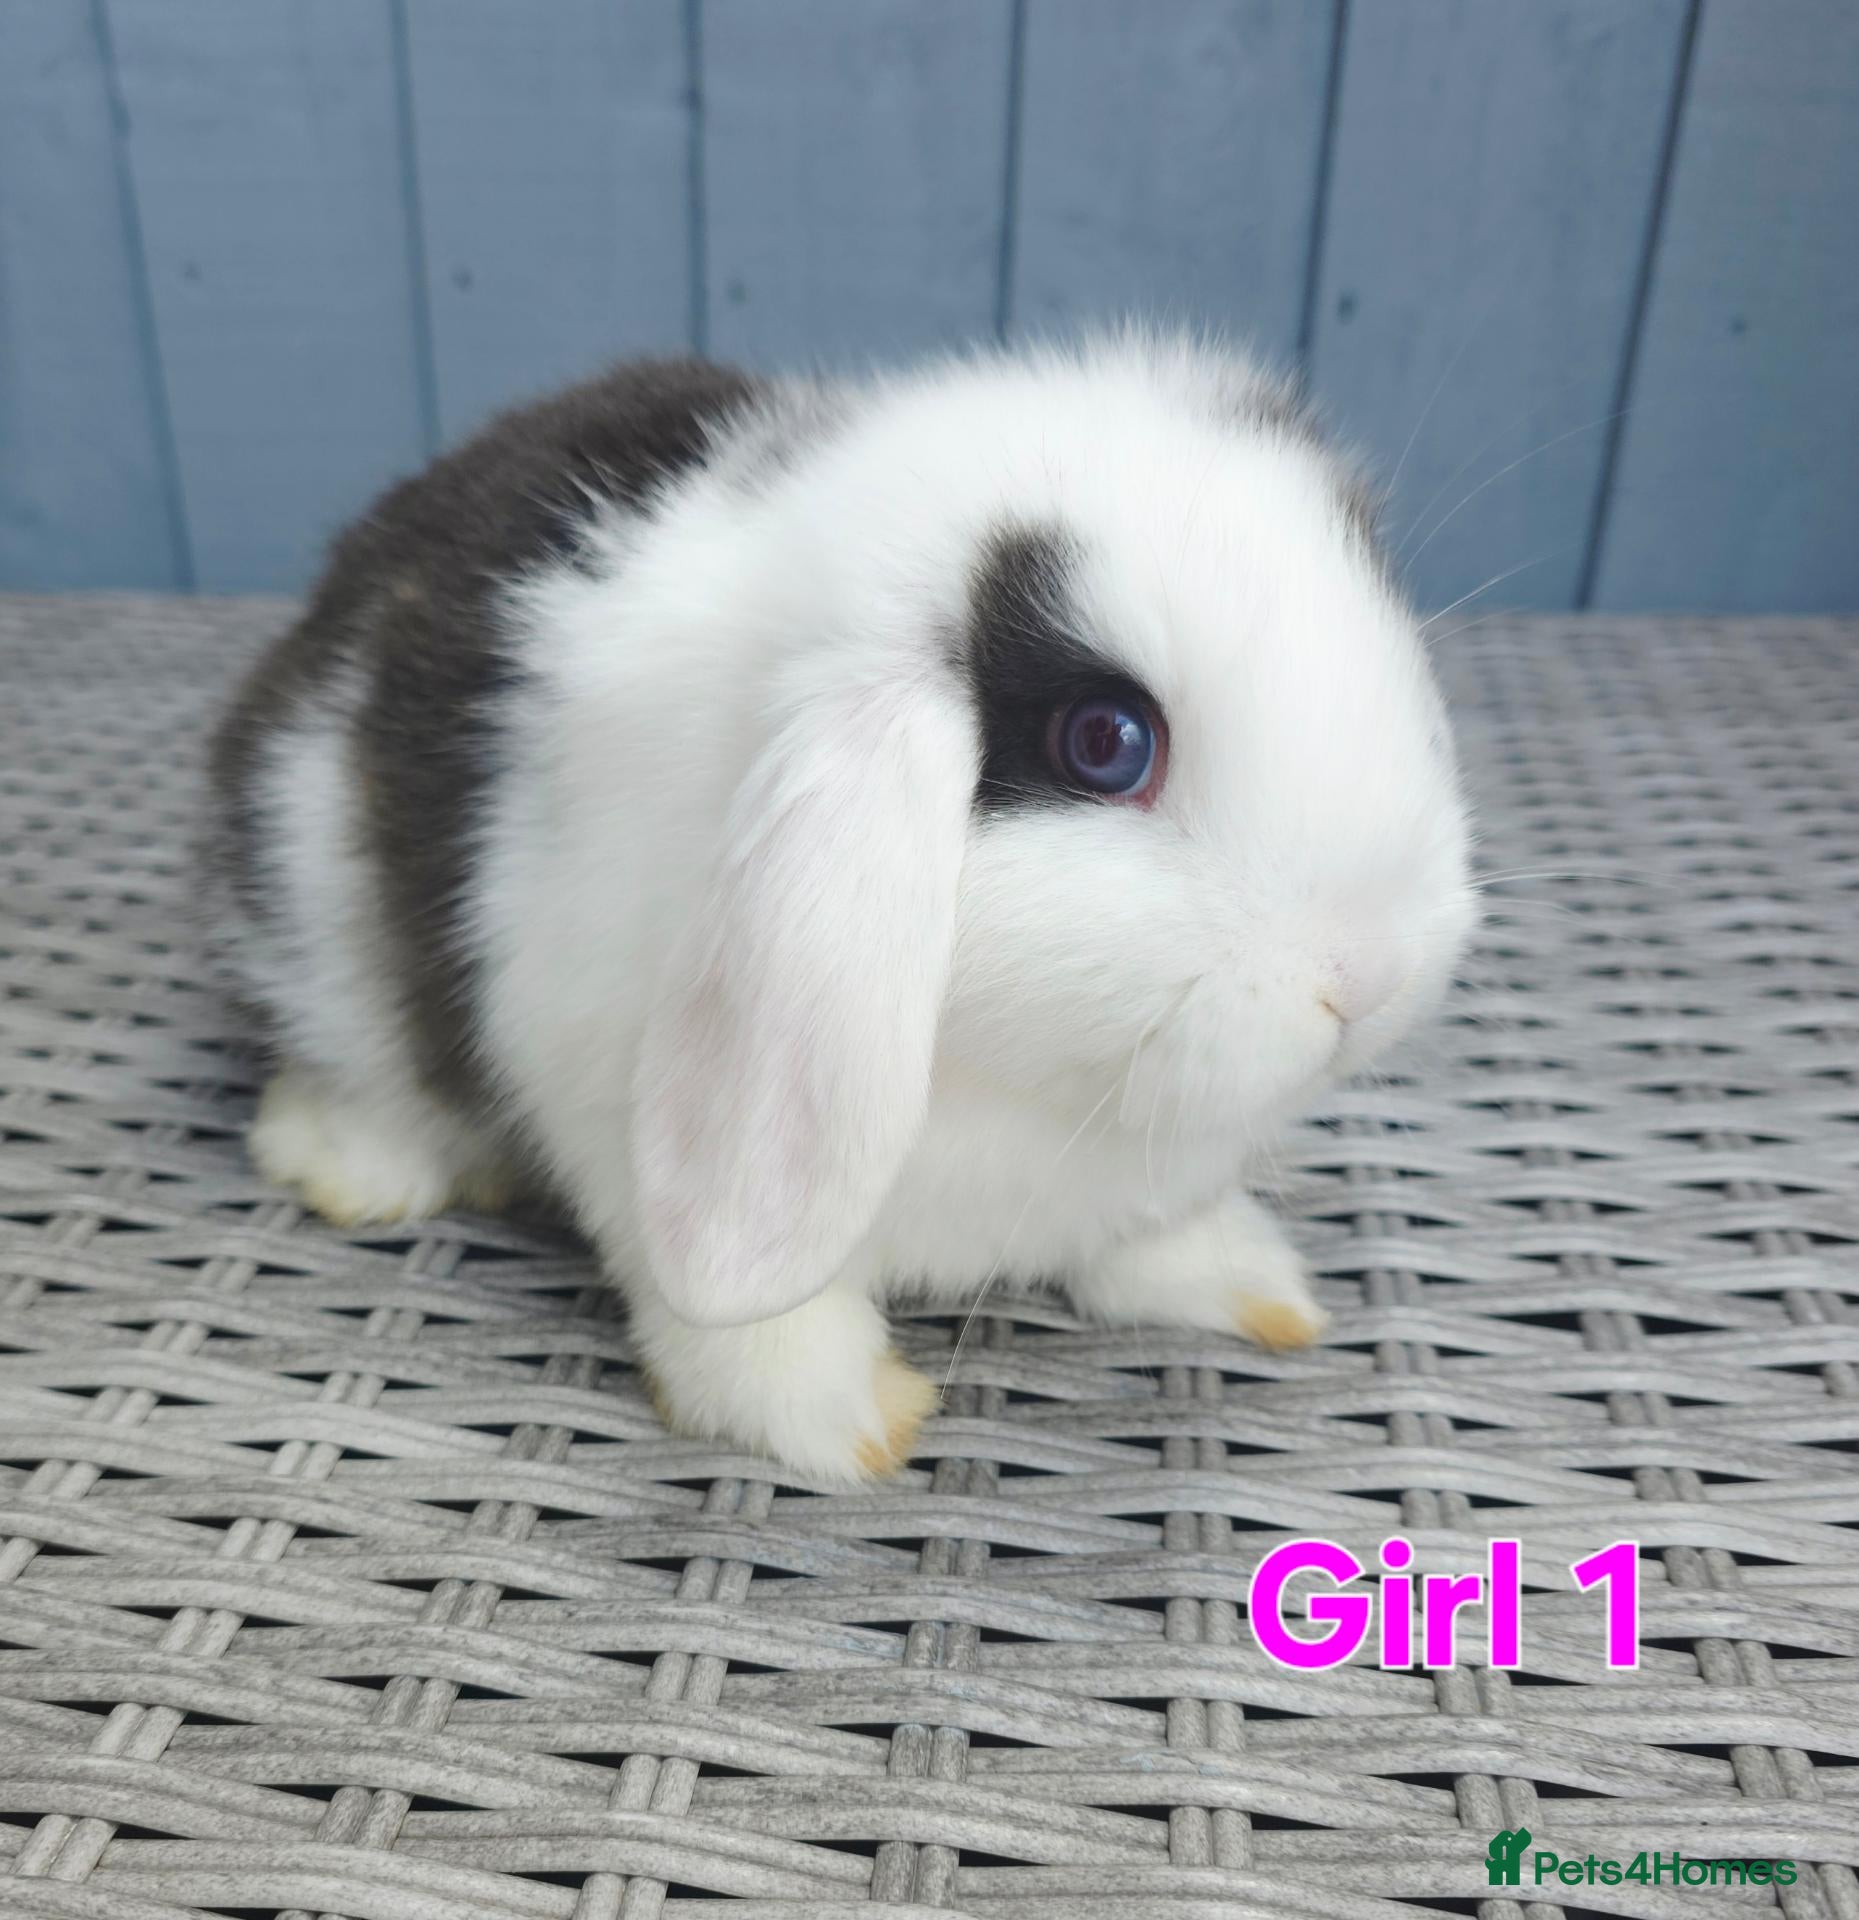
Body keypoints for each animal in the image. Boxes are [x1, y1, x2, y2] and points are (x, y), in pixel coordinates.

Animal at [202, 333, 1476, 1485]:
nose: (1369, 976)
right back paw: (361, 1172)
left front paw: (1252, 1287)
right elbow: (741, 1317)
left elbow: (1152, 1232)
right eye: (1104, 742)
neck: (1019, 1087)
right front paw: (843, 1422)